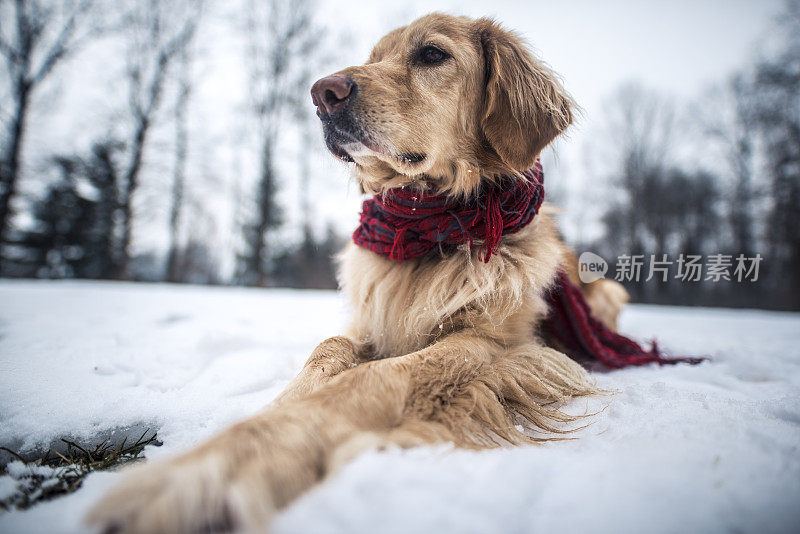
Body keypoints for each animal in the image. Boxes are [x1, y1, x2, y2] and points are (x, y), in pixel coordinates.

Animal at [86, 12, 624, 534]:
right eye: (374, 57)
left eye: (433, 54)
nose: (322, 92)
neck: (428, 231)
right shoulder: (370, 324)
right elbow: (327, 350)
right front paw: (270, 412)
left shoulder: (497, 343)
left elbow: (375, 377)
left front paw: (226, 463)